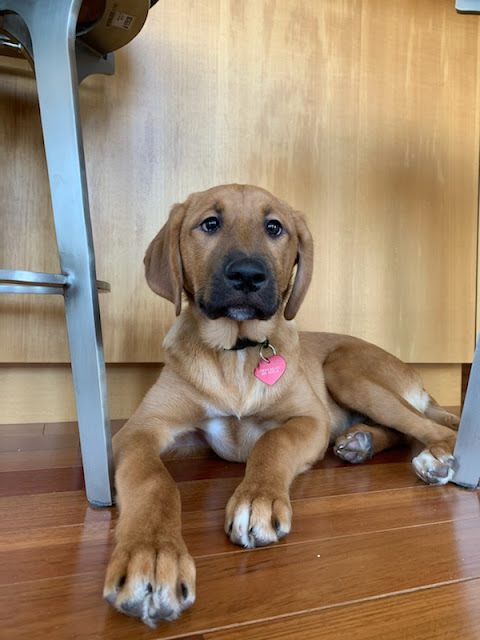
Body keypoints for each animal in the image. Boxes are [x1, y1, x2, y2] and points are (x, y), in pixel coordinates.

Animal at [103, 184, 459, 627]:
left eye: (274, 227)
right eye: (210, 223)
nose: (247, 275)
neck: (236, 351)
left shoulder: (310, 419)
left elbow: (272, 443)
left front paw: (257, 498)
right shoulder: (141, 429)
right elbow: (153, 480)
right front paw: (151, 554)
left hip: (346, 369)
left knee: (434, 428)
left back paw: (436, 459)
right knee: (399, 429)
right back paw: (360, 442)